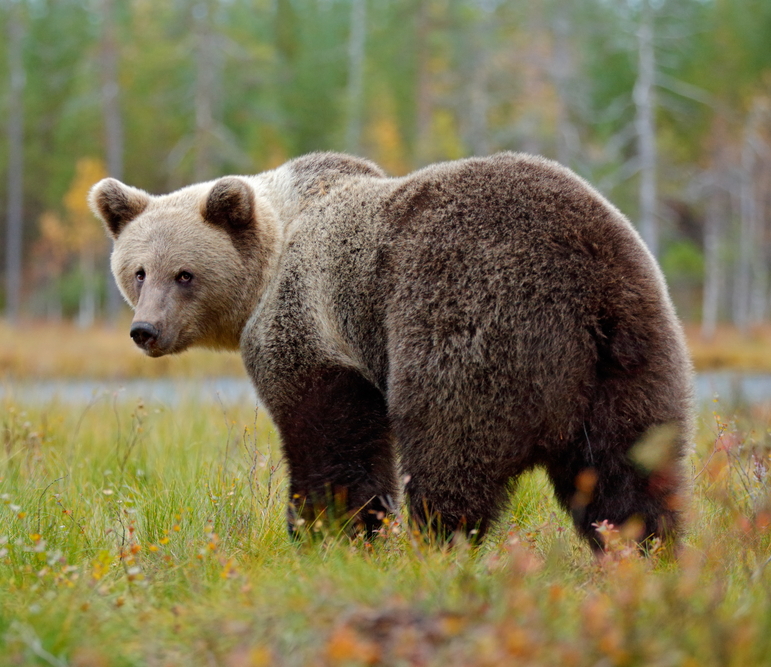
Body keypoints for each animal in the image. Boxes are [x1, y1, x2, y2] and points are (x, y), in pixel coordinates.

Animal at [90, 154, 692, 552]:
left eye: (184, 274)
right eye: (137, 271)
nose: (146, 330)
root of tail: (589, 285)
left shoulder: (314, 321)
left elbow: (330, 437)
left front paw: (327, 529)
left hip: (471, 318)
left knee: (450, 445)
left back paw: (434, 543)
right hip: (634, 351)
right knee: (629, 466)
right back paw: (641, 548)